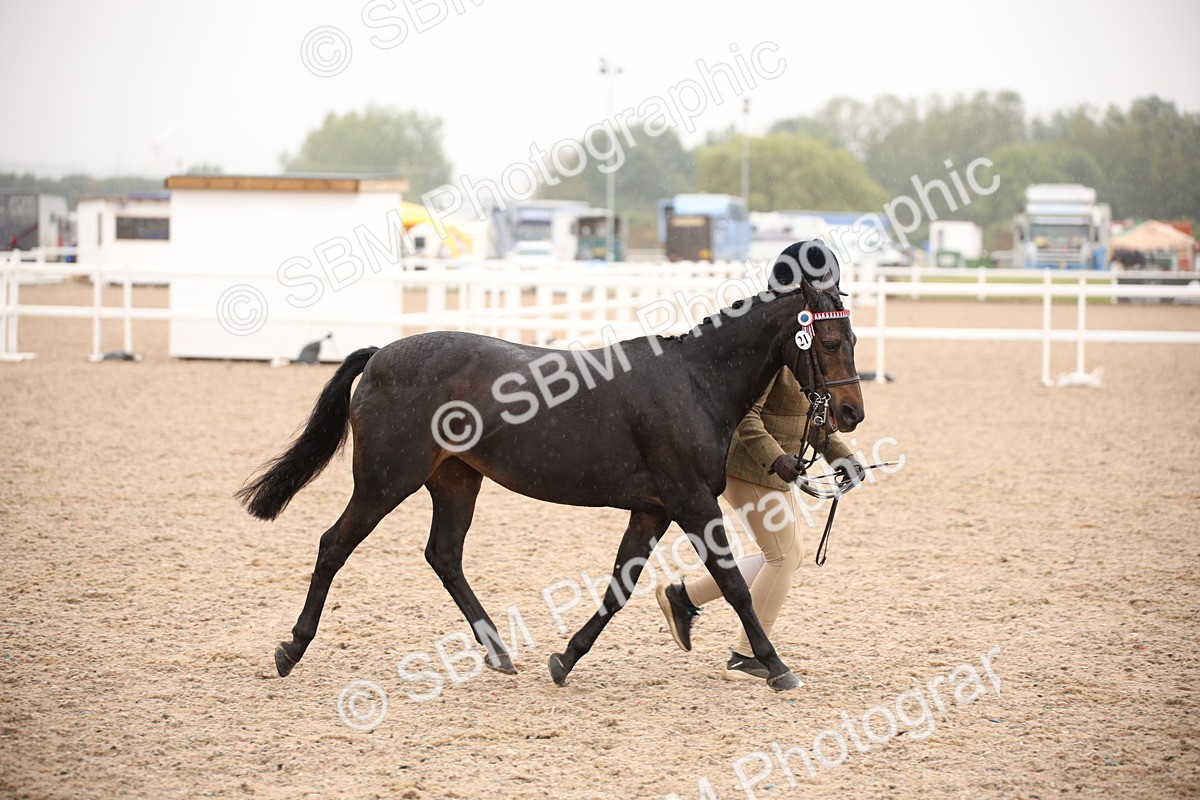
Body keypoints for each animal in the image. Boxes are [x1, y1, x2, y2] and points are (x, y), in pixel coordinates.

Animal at [237, 245, 864, 690]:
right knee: (334, 545)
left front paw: (565, 658)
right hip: (385, 482)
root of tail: (381, 355)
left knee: (444, 556)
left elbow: (620, 586)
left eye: (854, 335)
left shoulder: (653, 509)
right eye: (830, 339)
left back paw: (498, 652)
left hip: (455, 480)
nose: (852, 412)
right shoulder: (690, 501)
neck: (693, 382)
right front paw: (776, 666)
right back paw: (292, 648)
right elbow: (733, 583)